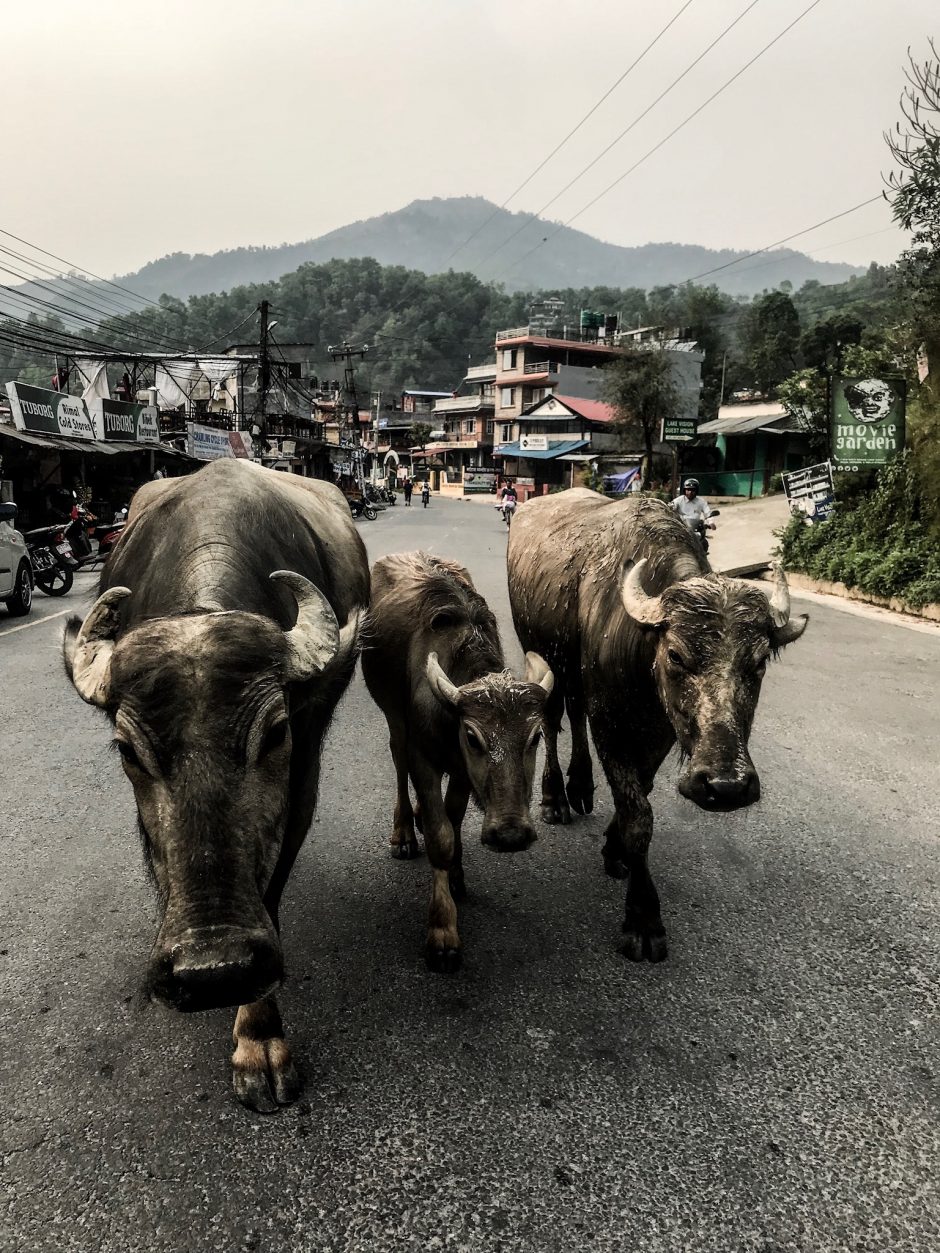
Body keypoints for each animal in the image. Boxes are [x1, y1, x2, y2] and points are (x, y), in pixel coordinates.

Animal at [63, 458, 368, 1107]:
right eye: (126, 749)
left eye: (275, 733)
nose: (212, 970)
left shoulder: (301, 772)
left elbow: (270, 888)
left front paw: (258, 1035)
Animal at [360, 553, 551, 972]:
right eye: (473, 737)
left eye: (535, 737)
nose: (511, 835)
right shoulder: (425, 759)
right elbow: (441, 835)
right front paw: (443, 931)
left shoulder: (463, 773)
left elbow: (455, 816)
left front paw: (459, 876)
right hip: (393, 717)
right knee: (398, 760)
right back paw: (404, 832)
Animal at [508, 486, 812, 957]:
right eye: (675, 655)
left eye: (760, 662)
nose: (726, 786)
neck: (640, 648)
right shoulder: (610, 723)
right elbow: (638, 815)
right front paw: (643, 918)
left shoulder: (663, 731)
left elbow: (642, 792)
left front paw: (613, 848)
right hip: (543, 655)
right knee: (554, 715)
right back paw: (556, 798)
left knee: (573, 712)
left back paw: (581, 787)